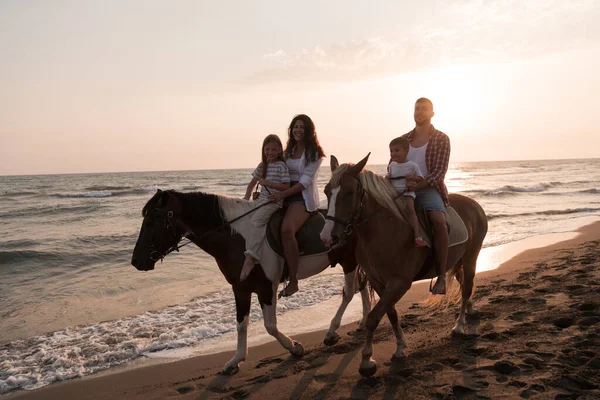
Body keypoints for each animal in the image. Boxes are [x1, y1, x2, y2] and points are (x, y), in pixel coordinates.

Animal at [132, 190, 370, 376]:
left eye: (151, 222)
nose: (136, 261)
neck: (237, 238)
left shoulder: (267, 287)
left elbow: (270, 325)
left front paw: (294, 347)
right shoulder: (240, 288)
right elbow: (241, 324)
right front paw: (235, 361)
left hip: (349, 260)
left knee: (349, 292)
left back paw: (331, 332)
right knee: (362, 287)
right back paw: (364, 322)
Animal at [318, 155, 488, 376]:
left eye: (350, 192)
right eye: (326, 191)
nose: (327, 237)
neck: (384, 231)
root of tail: (475, 205)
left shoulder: (399, 283)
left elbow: (373, 318)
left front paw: (367, 360)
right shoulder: (378, 282)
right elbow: (391, 313)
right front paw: (399, 347)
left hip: (470, 258)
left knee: (467, 288)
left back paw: (459, 326)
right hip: (457, 261)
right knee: (463, 284)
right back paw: (470, 310)